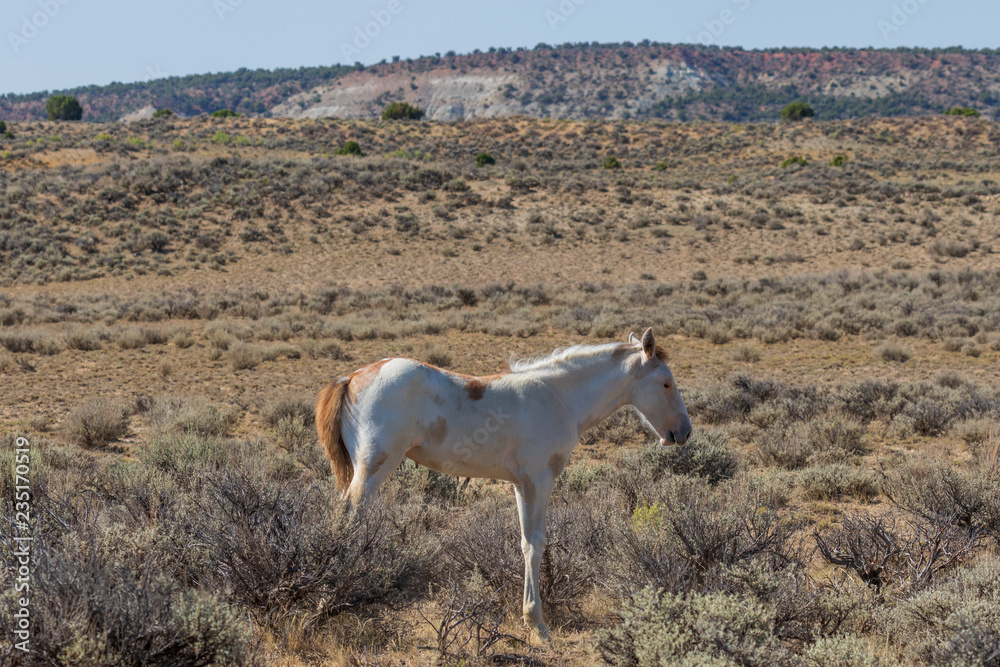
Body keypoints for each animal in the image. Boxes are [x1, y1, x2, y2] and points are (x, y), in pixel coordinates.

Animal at [315, 328, 691, 639]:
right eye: (666, 383)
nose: (684, 432)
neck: (558, 397)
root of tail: (351, 377)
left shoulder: (520, 484)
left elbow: (524, 544)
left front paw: (529, 617)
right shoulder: (539, 480)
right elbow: (536, 544)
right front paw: (537, 623)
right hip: (373, 469)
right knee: (347, 520)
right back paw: (330, 597)